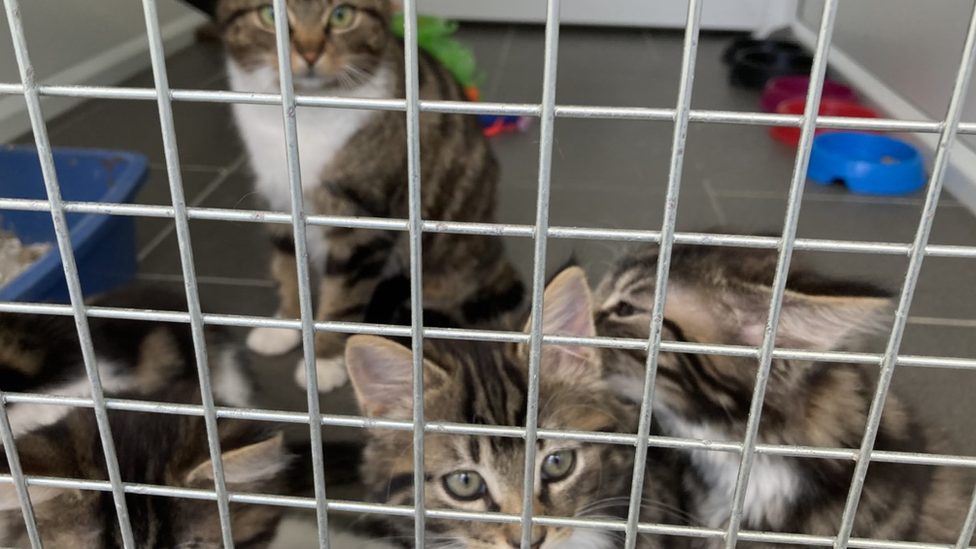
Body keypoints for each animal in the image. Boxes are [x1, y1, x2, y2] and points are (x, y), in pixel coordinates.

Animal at [216, 0, 524, 394]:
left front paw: (325, 361)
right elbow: (286, 269)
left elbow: (343, 297)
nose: (309, 51)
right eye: (270, 15)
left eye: (341, 16)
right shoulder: (279, 202)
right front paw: (286, 324)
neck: (303, 115)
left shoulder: (361, 221)